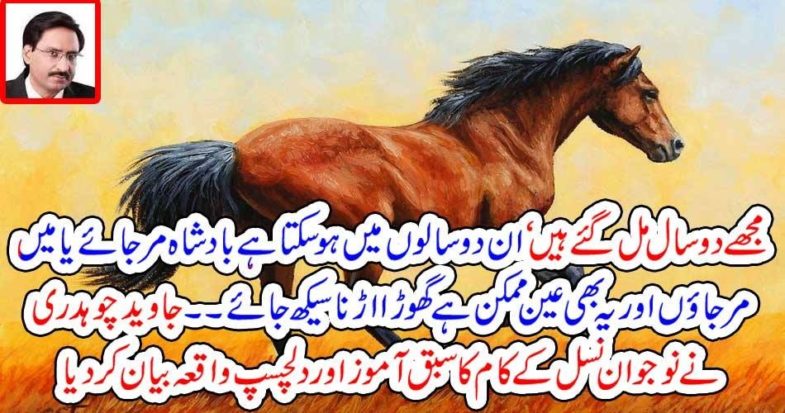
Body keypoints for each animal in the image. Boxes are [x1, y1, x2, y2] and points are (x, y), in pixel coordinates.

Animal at [88, 39, 683, 355]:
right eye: (649, 91)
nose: (673, 146)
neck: (504, 137)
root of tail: (235, 152)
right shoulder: (516, 229)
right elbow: (567, 279)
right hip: (361, 235)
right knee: (358, 304)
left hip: (279, 244)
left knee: (280, 306)